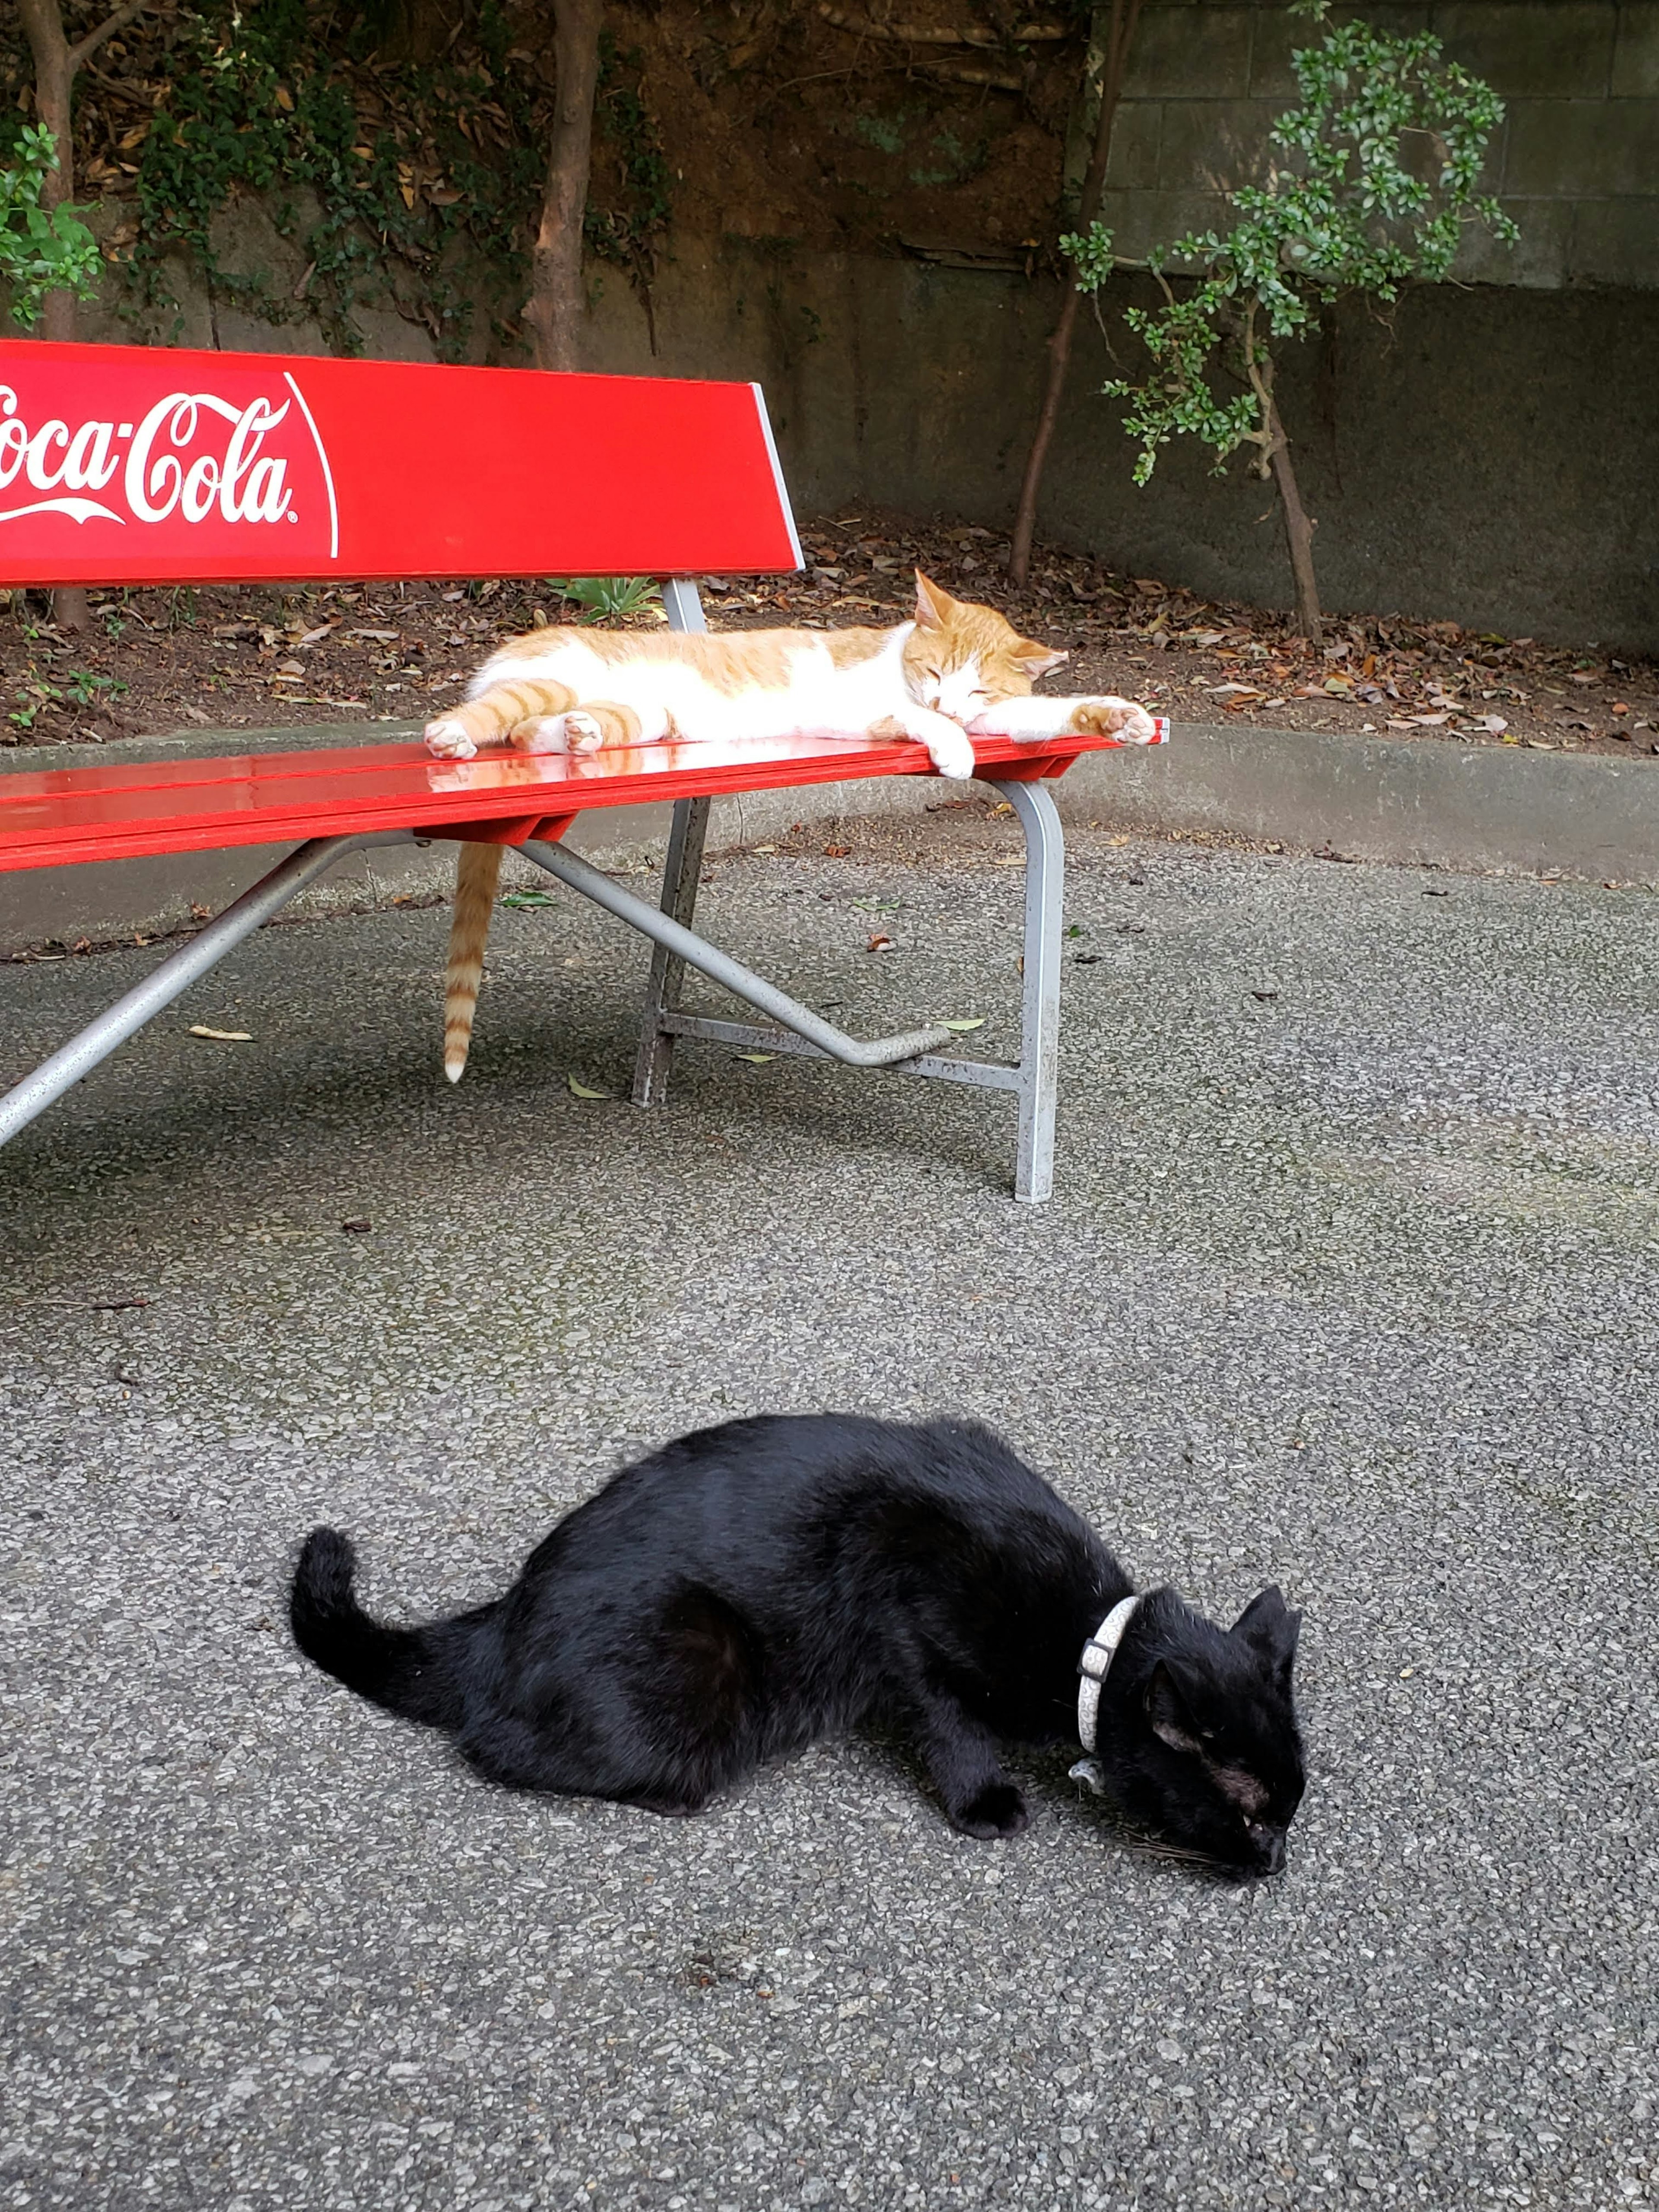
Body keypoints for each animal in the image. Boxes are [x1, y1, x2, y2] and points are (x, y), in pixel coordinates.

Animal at [296, 1415, 1309, 1867]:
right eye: (1254, 1815)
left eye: (1288, 1815)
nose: (1275, 1867)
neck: (1087, 1644)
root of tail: (502, 1615)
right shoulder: (903, 1594)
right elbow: (951, 1727)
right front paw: (984, 1801)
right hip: (697, 1670)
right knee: (493, 1746)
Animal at [422, 575, 1159, 1084]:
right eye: (935, 672)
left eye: (979, 688)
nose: (949, 703)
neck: (894, 664)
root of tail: (514, 646)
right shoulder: (862, 713)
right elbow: (925, 722)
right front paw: (951, 747)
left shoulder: (998, 718)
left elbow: (1043, 711)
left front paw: (1118, 715)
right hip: (546, 684)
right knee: (497, 717)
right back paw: (453, 736)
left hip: (644, 716)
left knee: (543, 731)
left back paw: (579, 735)